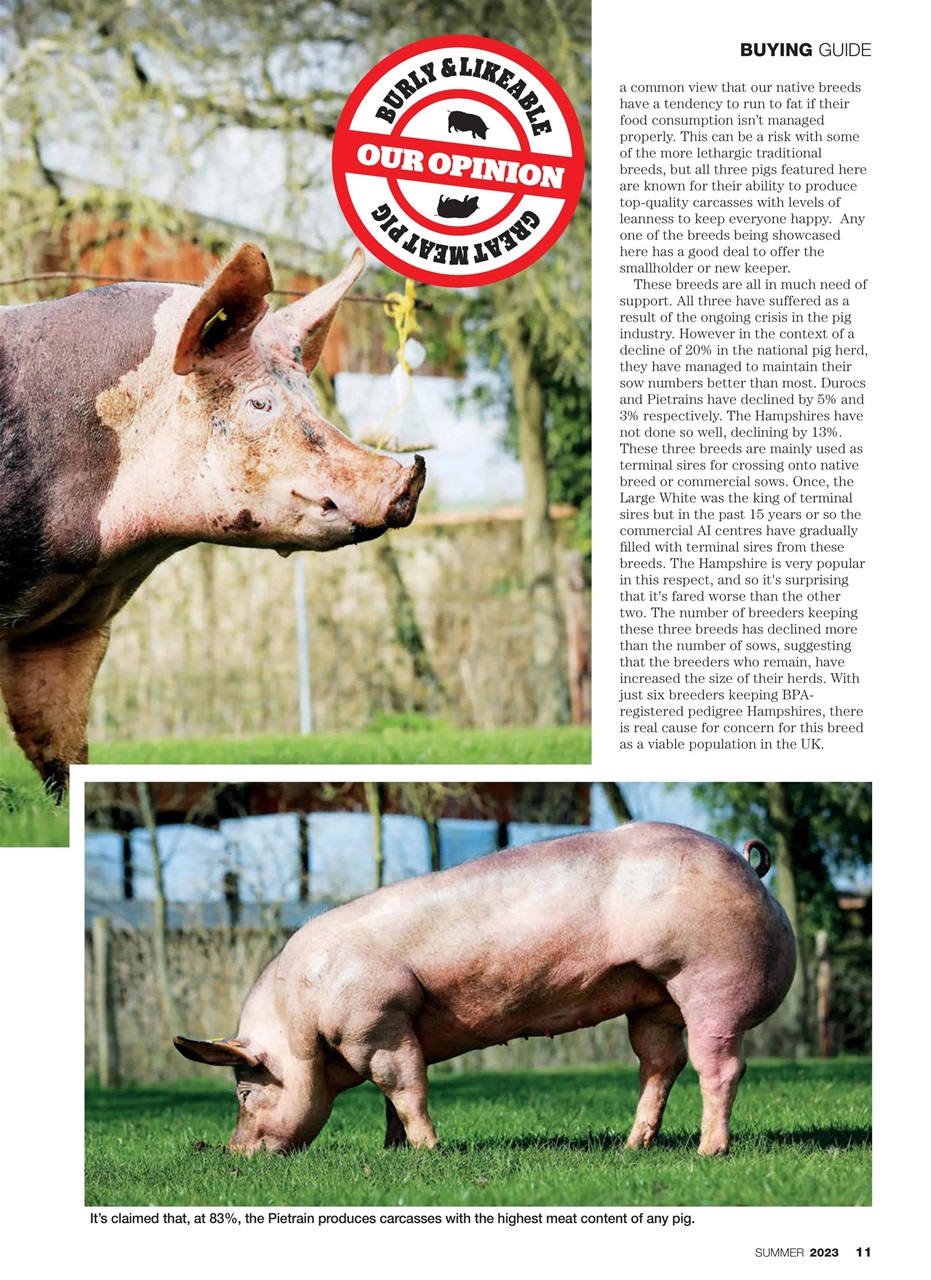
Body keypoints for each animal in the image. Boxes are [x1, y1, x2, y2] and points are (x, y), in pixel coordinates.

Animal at [175, 822, 795, 1157]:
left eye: (244, 1092)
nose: (234, 1152)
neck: (300, 1019)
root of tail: (749, 867)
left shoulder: (377, 1020)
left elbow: (404, 1089)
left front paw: (428, 1152)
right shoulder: (376, 1034)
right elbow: (387, 1101)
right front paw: (391, 1150)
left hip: (711, 978)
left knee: (721, 1067)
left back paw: (709, 1151)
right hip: (656, 998)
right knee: (660, 1064)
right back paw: (631, 1146)